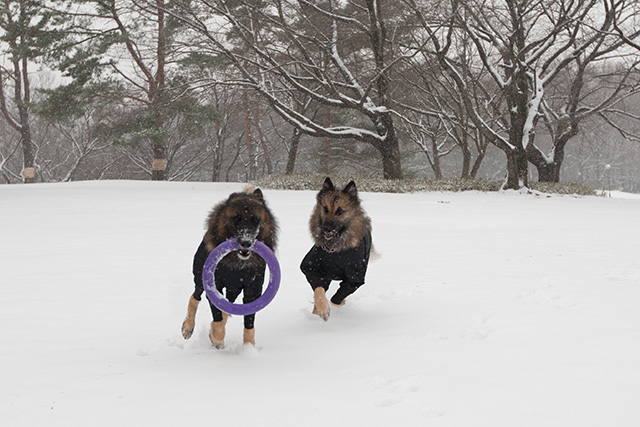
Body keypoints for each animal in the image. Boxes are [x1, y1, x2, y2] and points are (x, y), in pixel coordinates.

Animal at [181, 189, 278, 350]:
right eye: (236, 218)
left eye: (255, 220)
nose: (246, 242)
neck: (238, 265)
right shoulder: (214, 287)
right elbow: (218, 319)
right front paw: (216, 338)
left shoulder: (253, 291)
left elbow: (248, 323)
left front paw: (249, 348)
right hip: (200, 276)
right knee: (195, 297)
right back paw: (188, 327)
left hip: (234, 290)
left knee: (227, 306)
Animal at [302, 177, 372, 320]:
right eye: (325, 208)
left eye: (339, 211)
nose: (326, 229)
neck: (335, 249)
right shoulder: (312, 268)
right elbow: (318, 290)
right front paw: (322, 309)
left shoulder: (354, 278)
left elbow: (337, 299)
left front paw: (337, 303)